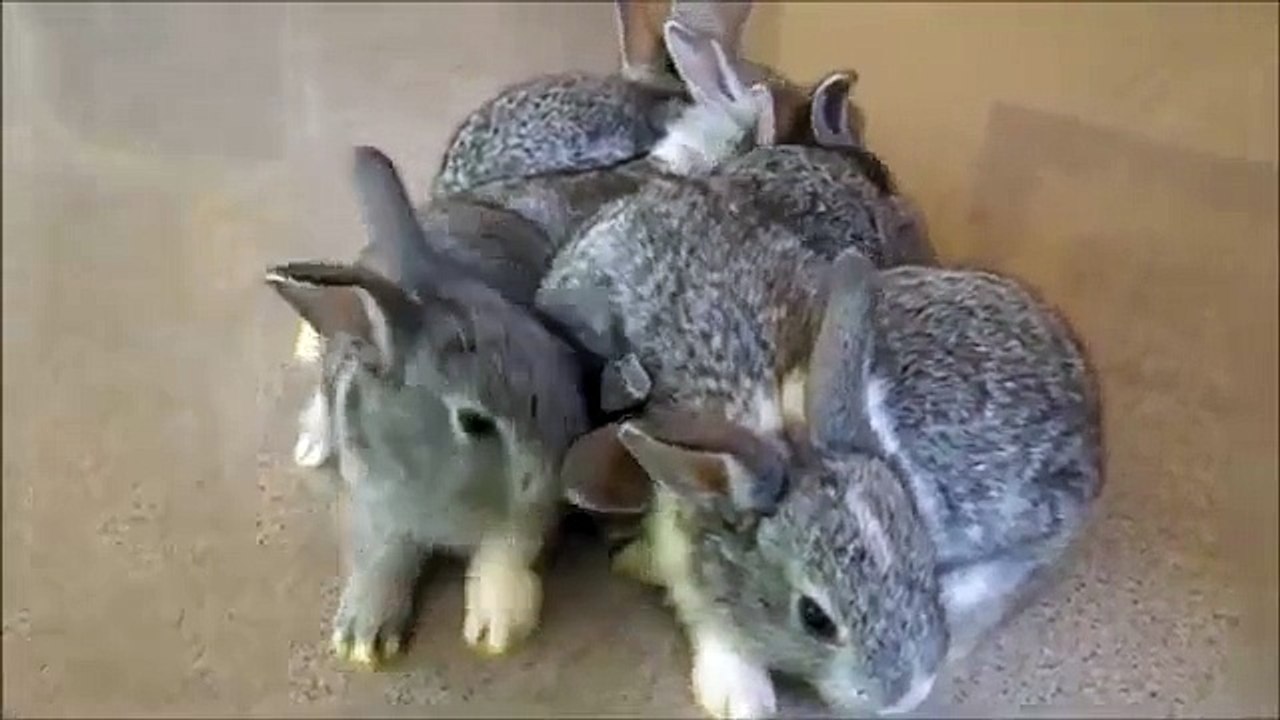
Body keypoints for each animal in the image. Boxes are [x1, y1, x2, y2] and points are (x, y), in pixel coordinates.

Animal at [266, 146, 595, 665]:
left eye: (560, 356)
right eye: (473, 422)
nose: (552, 479)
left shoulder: (525, 522)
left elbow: (506, 550)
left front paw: (497, 627)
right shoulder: (375, 507)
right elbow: (382, 557)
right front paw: (363, 639)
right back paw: (314, 444)